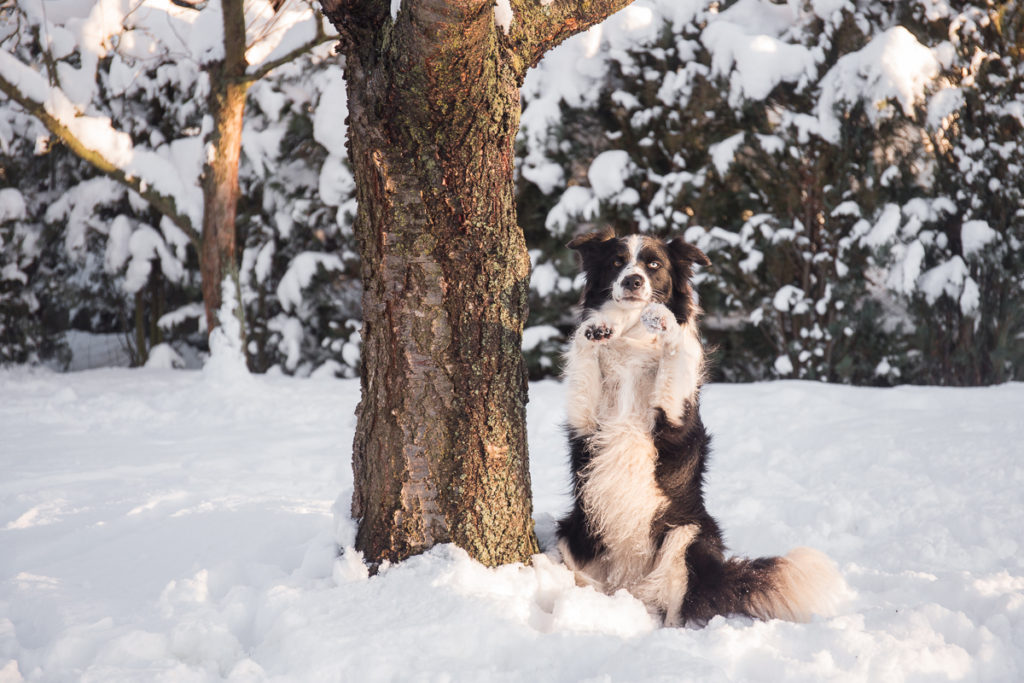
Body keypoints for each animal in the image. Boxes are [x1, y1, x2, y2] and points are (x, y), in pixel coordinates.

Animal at [557, 231, 843, 630]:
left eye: (654, 264)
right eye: (616, 262)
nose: (633, 281)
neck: (632, 334)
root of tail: (630, 585)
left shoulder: (675, 419)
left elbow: (679, 348)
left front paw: (663, 320)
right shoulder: (586, 423)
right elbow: (583, 353)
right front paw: (596, 328)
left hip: (688, 535)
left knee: (678, 608)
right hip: (574, 530)